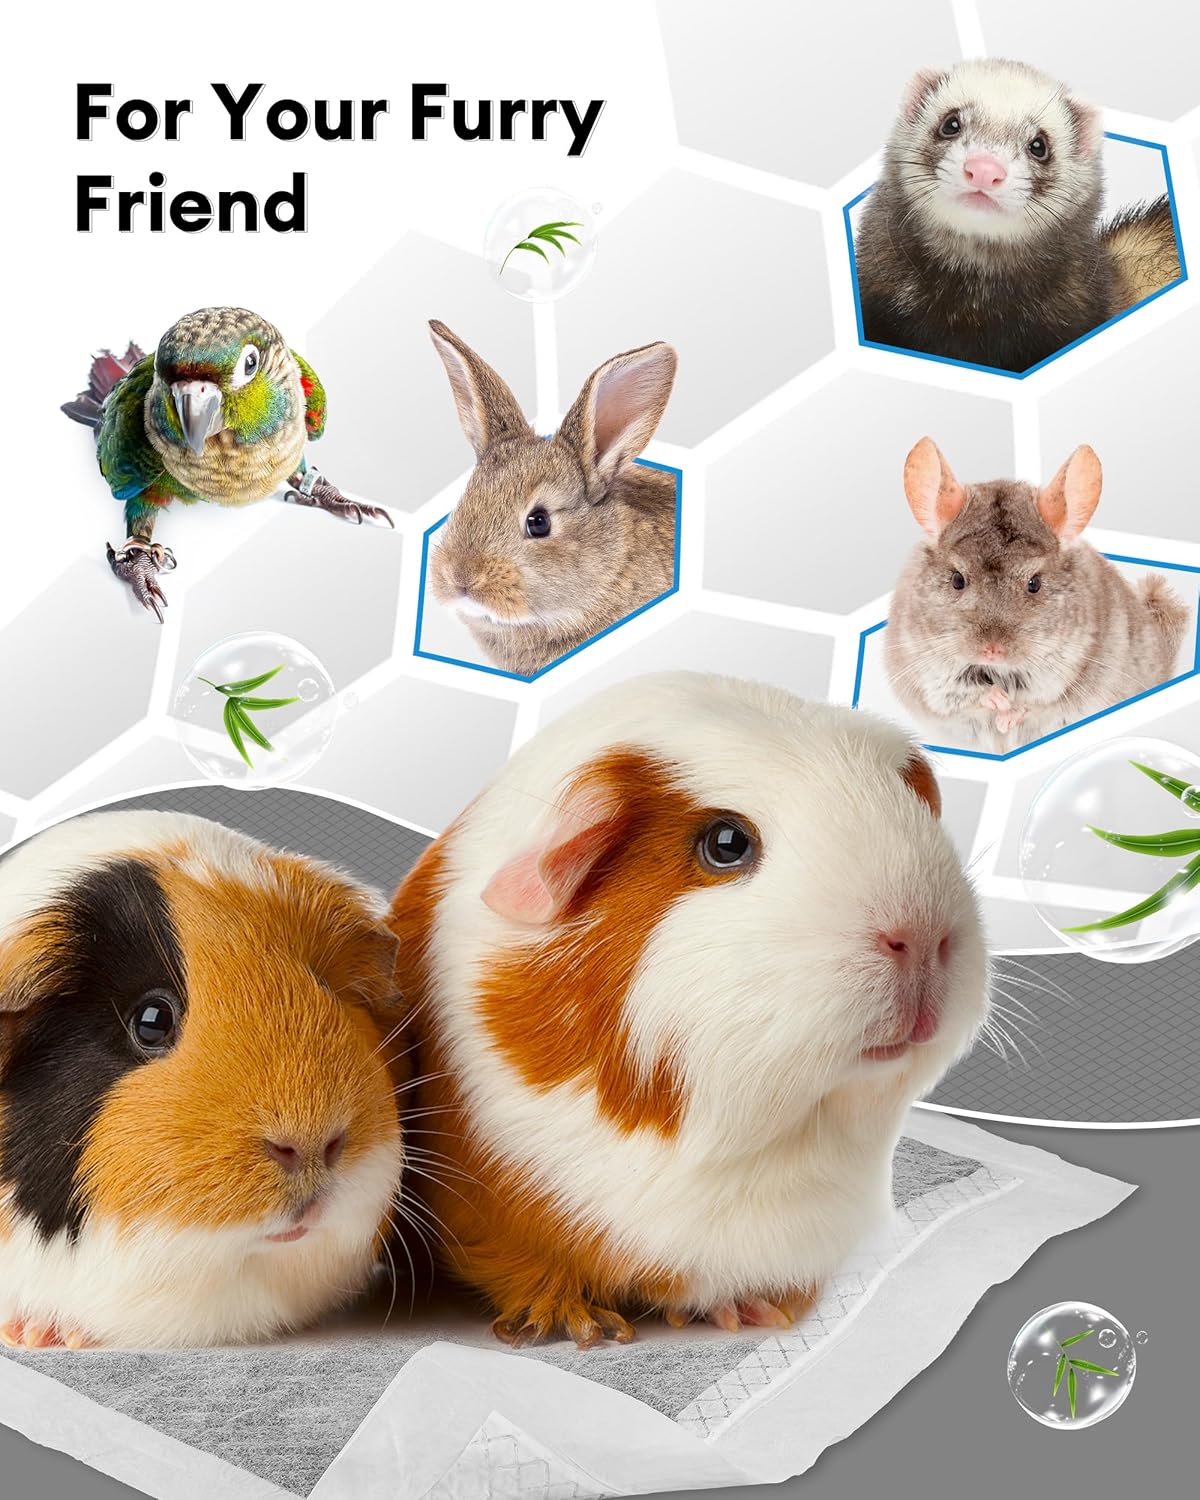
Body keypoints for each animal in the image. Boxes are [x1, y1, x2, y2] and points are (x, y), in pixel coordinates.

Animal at [386, 671, 988, 1348]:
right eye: (726, 844)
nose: (924, 937)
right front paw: (577, 1327)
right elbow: (523, 1262)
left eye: (908, 804)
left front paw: (756, 1311)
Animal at [885, 437, 1189, 753]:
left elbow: (1032, 703)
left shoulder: (1059, 674)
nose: (992, 650)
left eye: (1034, 583)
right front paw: (997, 701)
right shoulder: (931, 674)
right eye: (957, 580)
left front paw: (1007, 717)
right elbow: (969, 695)